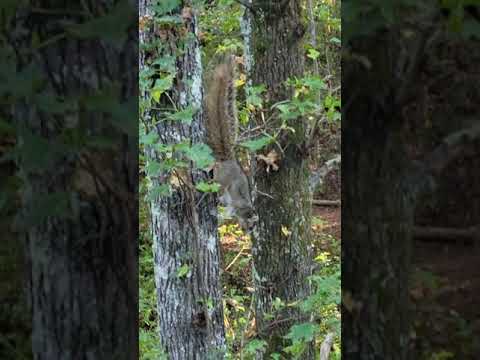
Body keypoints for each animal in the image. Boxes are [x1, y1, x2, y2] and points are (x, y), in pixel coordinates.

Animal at [205, 54, 258, 232]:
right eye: (251, 224)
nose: (247, 231)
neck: (246, 210)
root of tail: (227, 159)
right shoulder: (238, 206)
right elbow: (228, 212)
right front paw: (217, 215)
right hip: (222, 180)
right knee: (218, 186)